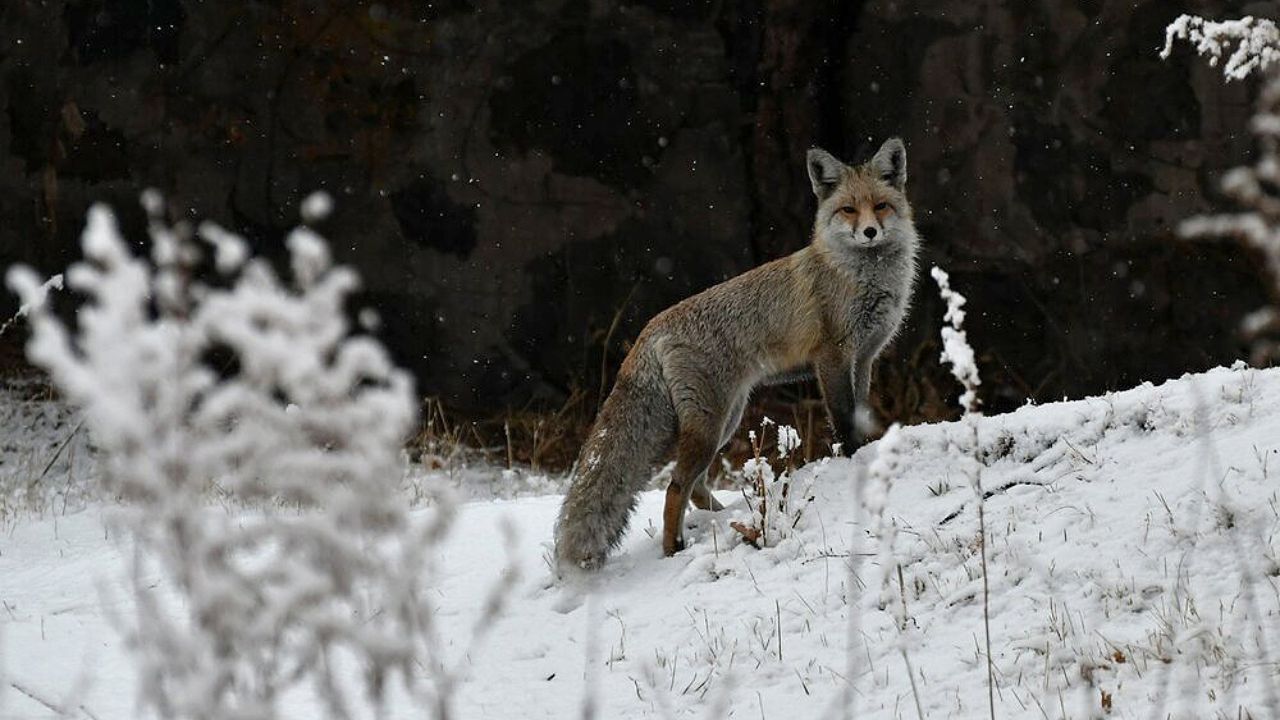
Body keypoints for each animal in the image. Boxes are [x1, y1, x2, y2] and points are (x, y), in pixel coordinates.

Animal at [558, 137, 921, 568]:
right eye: (848, 209)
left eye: (880, 206)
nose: (868, 231)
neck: (862, 277)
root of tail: (651, 326)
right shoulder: (832, 356)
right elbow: (845, 421)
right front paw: (852, 461)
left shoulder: (864, 358)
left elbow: (860, 414)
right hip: (711, 423)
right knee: (676, 487)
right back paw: (674, 548)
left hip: (725, 420)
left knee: (695, 487)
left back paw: (723, 519)